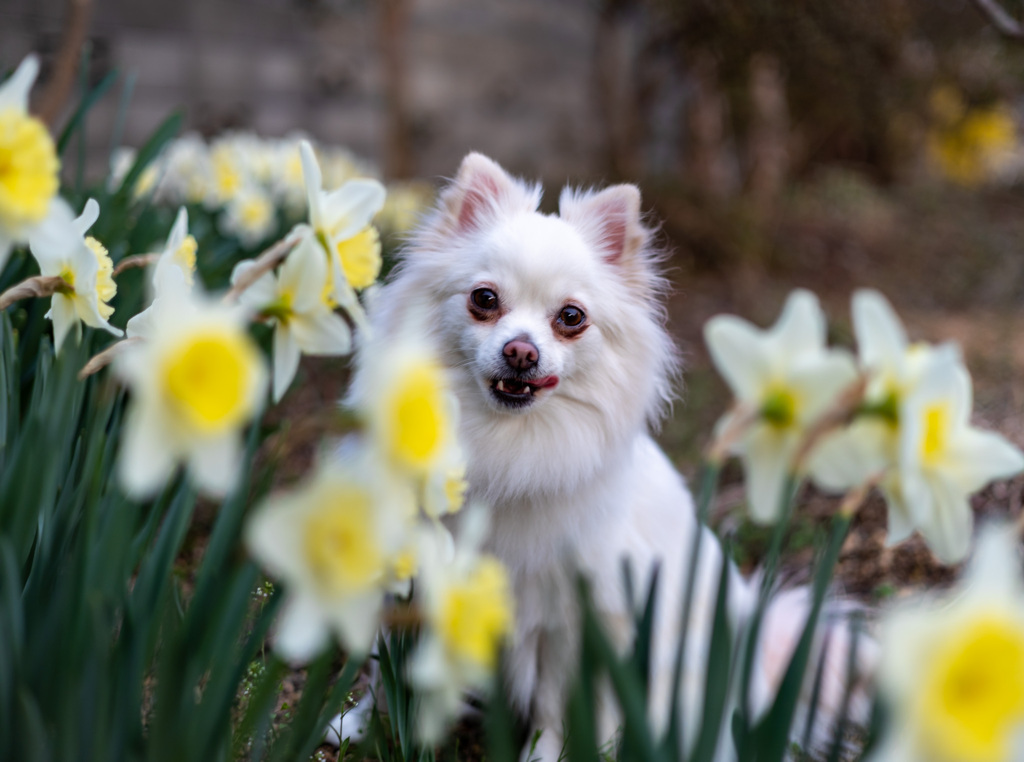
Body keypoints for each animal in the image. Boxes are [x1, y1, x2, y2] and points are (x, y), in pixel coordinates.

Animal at [348, 151, 868, 757]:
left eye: (571, 317)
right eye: (484, 300)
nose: (520, 351)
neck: (504, 445)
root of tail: (756, 659)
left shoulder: (568, 619)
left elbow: (555, 704)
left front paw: (544, 754)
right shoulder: (414, 577)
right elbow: (386, 671)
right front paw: (359, 726)